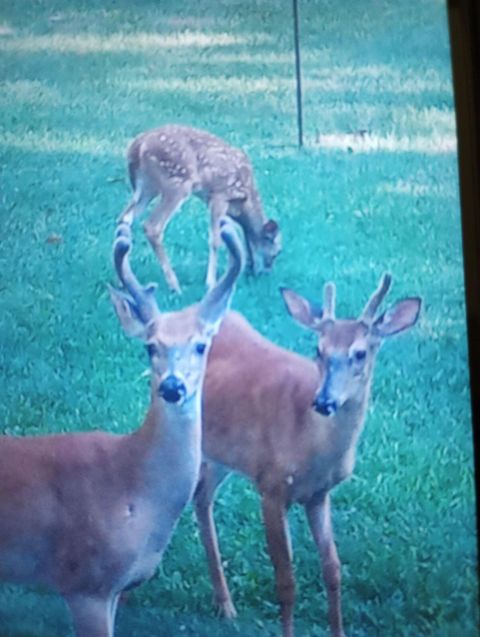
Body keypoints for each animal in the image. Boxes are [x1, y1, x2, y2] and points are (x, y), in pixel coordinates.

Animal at [118, 122, 282, 294]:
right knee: (152, 226)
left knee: (124, 218)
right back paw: (174, 285)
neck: (245, 202)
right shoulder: (219, 195)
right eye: (277, 252)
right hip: (177, 181)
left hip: (145, 187)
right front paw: (211, 283)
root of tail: (138, 145)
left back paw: (123, 281)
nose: (264, 274)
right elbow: (215, 241)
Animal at [194, 276, 420, 636]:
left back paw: (224, 603)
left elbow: (333, 570)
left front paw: (339, 631)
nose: (325, 401)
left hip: (223, 450)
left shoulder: (319, 494)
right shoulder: (271, 487)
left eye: (360, 353)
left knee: (202, 496)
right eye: (319, 350)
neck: (310, 445)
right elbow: (286, 581)